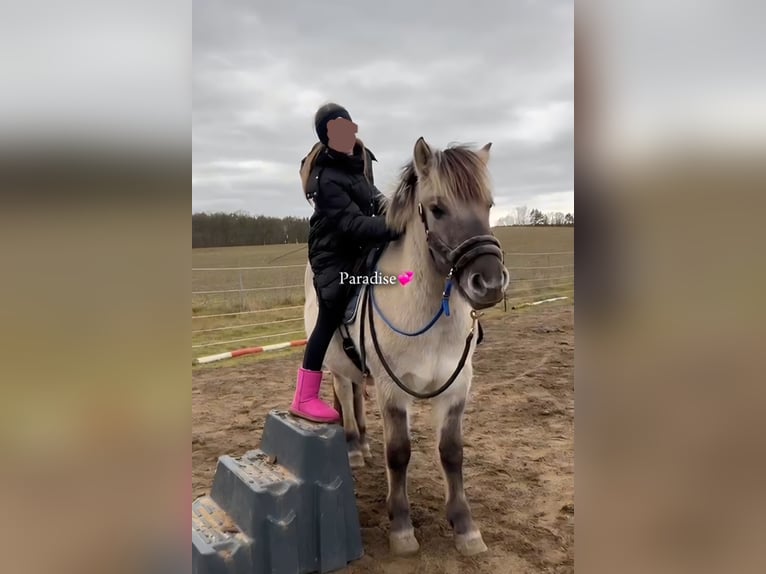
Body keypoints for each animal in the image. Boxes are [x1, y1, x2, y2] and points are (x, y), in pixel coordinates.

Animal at [303, 137, 509, 557]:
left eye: (489, 204)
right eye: (437, 208)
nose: (490, 283)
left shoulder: (457, 388)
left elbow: (452, 453)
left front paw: (465, 528)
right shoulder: (392, 390)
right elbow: (398, 454)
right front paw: (401, 528)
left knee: (354, 396)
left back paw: (363, 445)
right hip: (335, 366)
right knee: (344, 397)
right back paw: (353, 448)